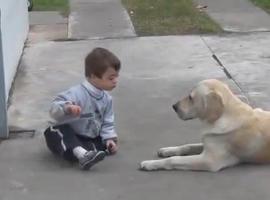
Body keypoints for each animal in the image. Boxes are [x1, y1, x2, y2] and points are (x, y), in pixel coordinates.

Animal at [140, 79, 270, 171]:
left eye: (191, 97)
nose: (174, 106)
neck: (222, 116)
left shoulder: (209, 161)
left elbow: (174, 160)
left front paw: (150, 163)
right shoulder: (207, 143)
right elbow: (187, 146)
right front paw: (168, 150)